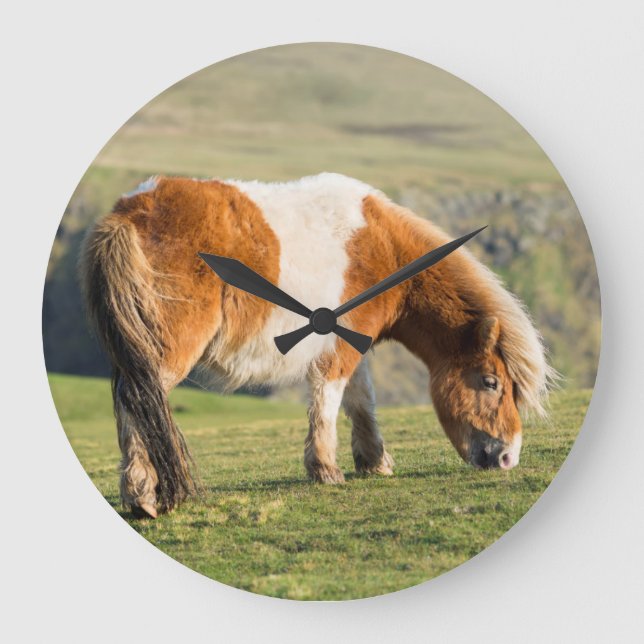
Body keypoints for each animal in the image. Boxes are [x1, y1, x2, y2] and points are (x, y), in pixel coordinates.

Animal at [81, 172, 553, 518]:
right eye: (491, 382)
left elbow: (361, 401)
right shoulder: (338, 348)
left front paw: (374, 462)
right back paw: (142, 496)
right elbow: (328, 400)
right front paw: (326, 469)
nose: (508, 457)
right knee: (138, 399)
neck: (383, 246)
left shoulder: (355, 344)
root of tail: (129, 212)